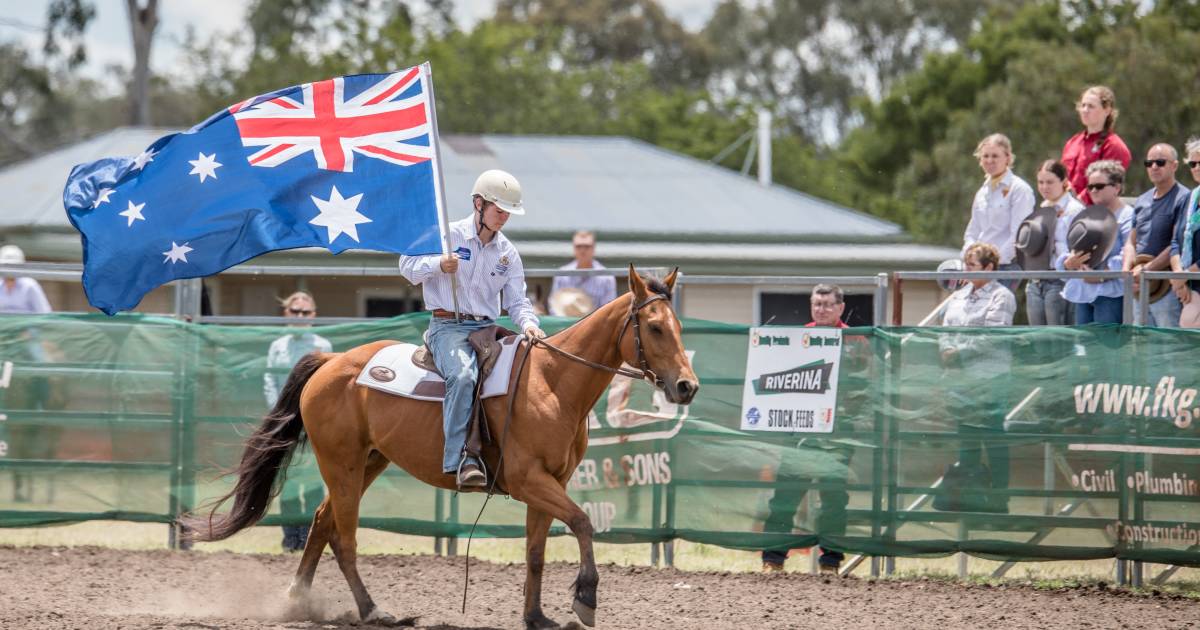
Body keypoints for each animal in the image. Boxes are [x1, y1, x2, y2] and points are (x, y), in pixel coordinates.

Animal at [182, 266, 700, 628]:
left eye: (678, 326)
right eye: (654, 327)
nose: (687, 386)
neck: (552, 382)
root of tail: (331, 361)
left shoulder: (550, 482)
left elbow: (537, 550)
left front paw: (536, 617)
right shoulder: (529, 479)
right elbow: (583, 522)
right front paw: (585, 598)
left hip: (367, 463)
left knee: (322, 522)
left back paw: (297, 602)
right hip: (342, 464)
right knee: (343, 537)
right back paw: (373, 611)